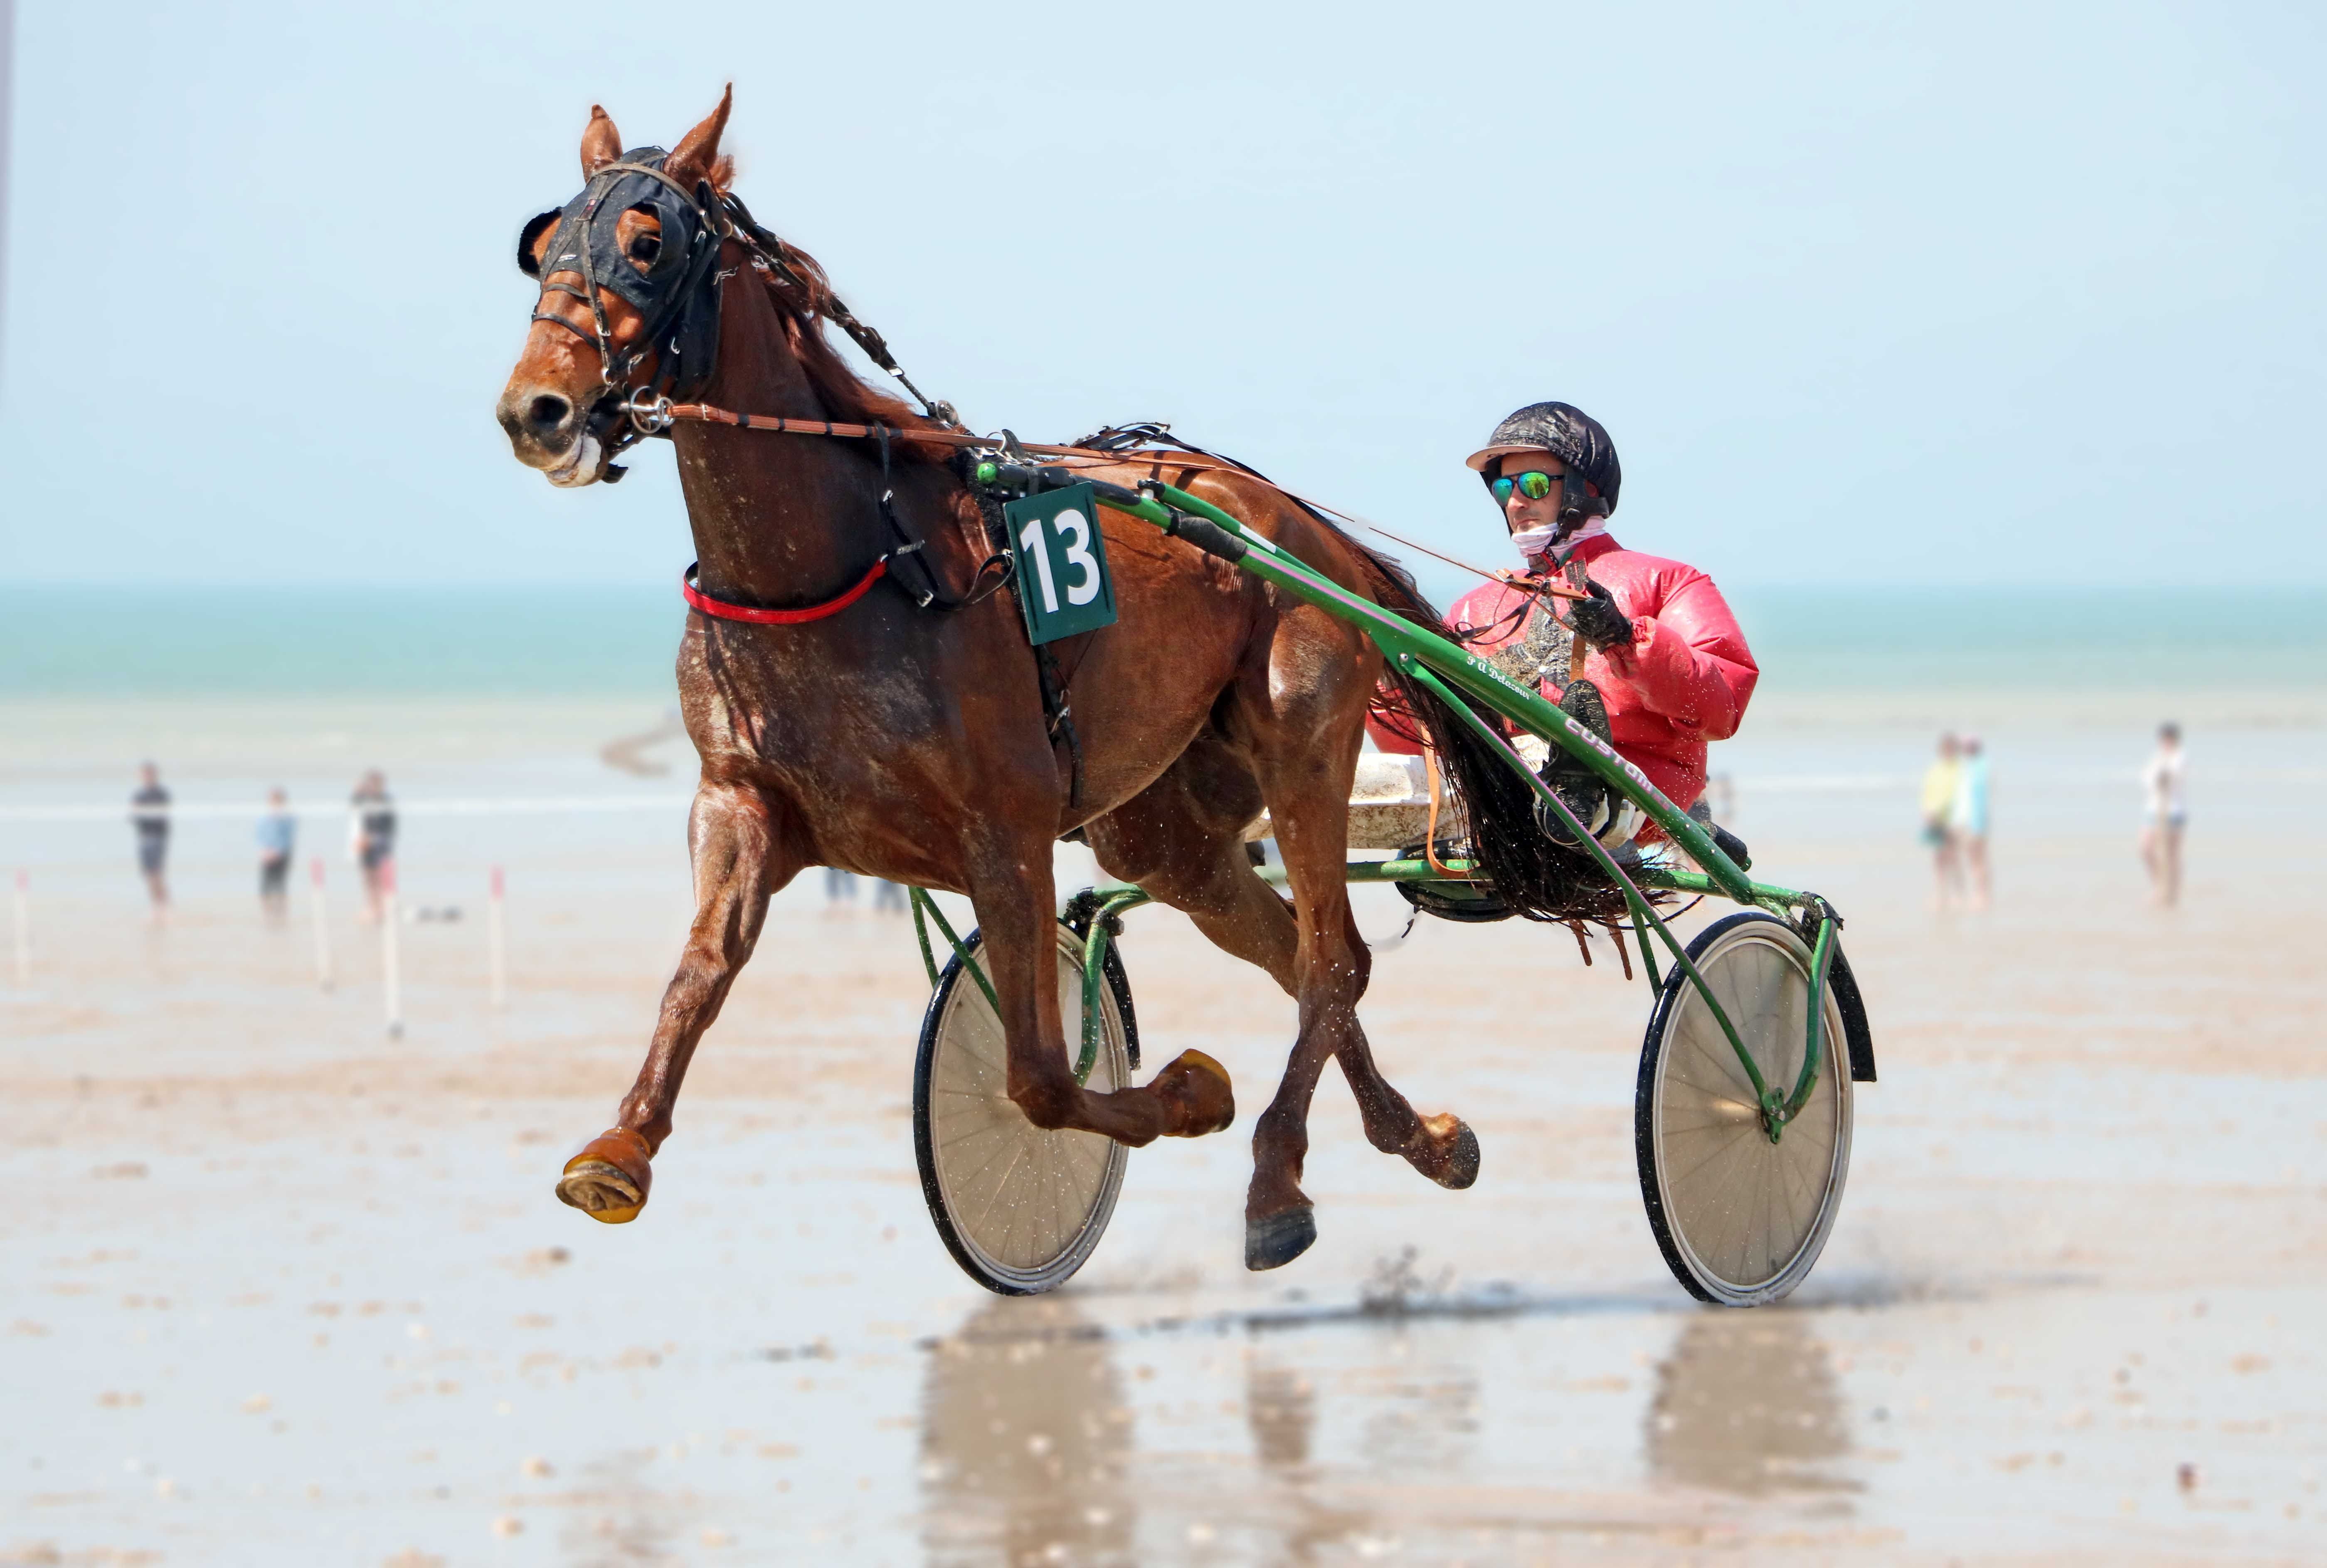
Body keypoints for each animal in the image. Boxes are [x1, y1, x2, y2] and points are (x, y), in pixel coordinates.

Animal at [493, 88, 1583, 1272]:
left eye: (646, 243)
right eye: (543, 246)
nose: (535, 411)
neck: (851, 561)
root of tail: (1302, 529)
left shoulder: (1003, 832)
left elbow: (1043, 1078)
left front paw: (1191, 1090)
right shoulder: (740, 802)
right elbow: (695, 974)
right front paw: (619, 1145)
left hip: (1300, 736)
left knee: (1333, 957)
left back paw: (1274, 1177)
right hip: (1163, 828)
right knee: (1302, 960)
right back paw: (1413, 1138)